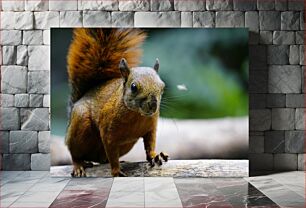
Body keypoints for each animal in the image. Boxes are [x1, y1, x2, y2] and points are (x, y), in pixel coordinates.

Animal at [65, 28, 169, 176]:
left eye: (163, 86)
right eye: (133, 87)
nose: (153, 105)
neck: (136, 116)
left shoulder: (151, 128)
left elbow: (150, 144)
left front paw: (155, 155)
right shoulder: (108, 133)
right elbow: (112, 152)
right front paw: (116, 171)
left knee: (102, 159)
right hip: (80, 125)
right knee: (75, 153)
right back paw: (79, 165)